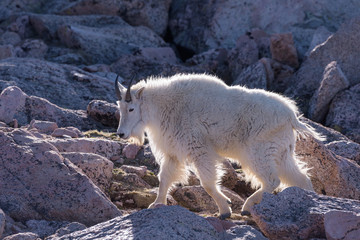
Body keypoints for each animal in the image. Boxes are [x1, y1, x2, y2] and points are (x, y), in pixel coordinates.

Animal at [114, 74, 324, 218]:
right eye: (119, 107)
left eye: (131, 108)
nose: (121, 134)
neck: (166, 106)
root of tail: (291, 116)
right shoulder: (173, 152)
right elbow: (165, 178)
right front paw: (157, 204)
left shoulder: (199, 149)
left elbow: (207, 183)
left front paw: (225, 209)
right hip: (281, 152)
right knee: (300, 178)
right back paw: (312, 201)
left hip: (258, 152)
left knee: (272, 180)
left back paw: (247, 207)